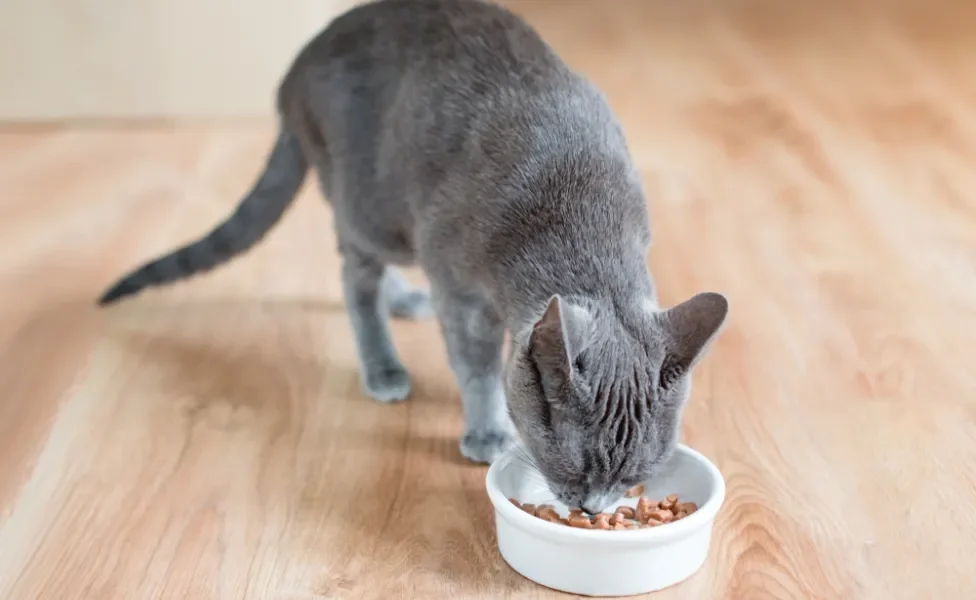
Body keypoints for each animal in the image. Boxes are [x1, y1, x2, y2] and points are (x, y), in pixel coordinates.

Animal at [99, 1, 728, 516]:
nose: (594, 510)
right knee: (353, 275)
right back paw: (384, 365)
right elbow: (477, 366)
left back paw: (403, 301)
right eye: (576, 467)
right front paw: (486, 430)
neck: (578, 217)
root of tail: (295, 69)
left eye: (637, 474)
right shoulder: (460, 286)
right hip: (374, 205)